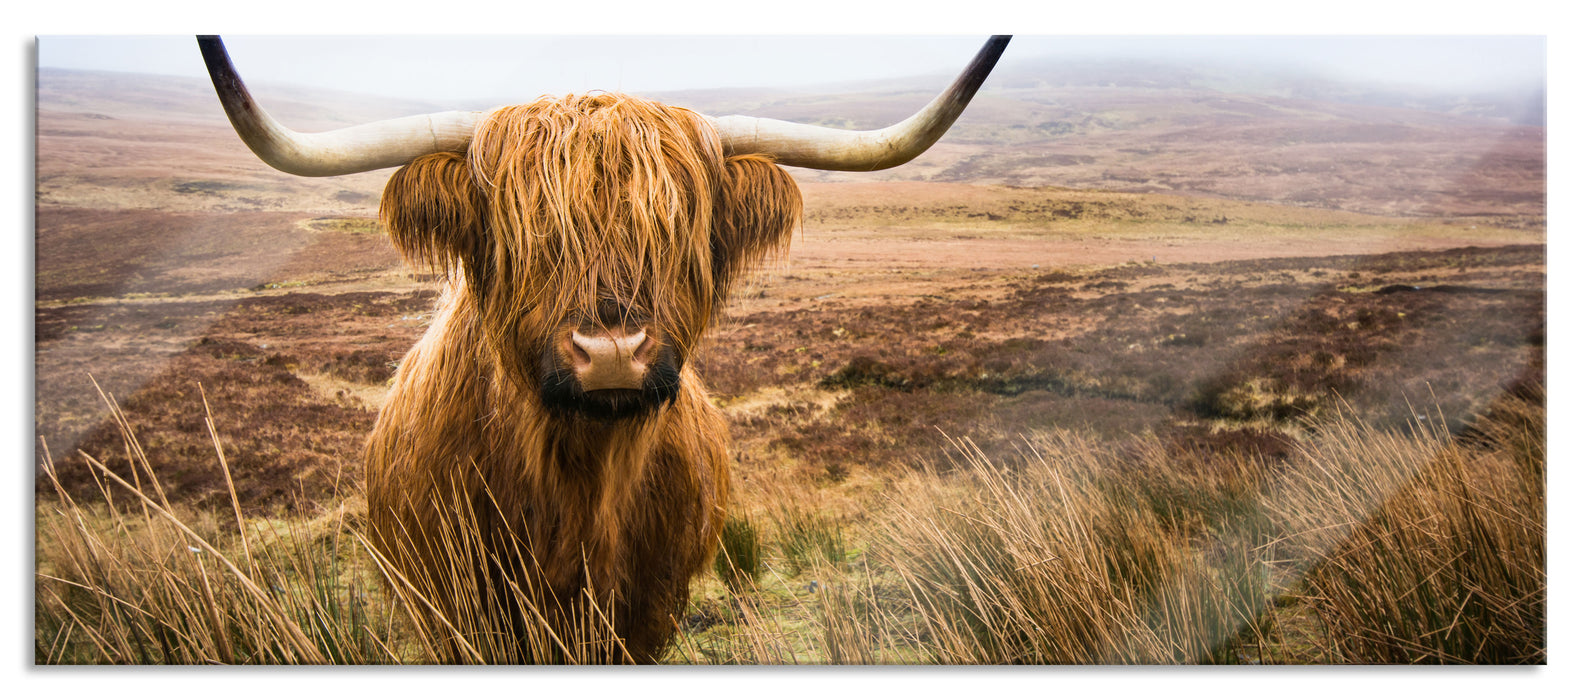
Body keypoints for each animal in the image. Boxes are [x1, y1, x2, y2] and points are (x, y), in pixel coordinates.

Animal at [197, 36, 1006, 661]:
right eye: (526, 233)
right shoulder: (458, 613)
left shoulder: (649, 612)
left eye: (675, 228)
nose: (612, 350)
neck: (577, 487)